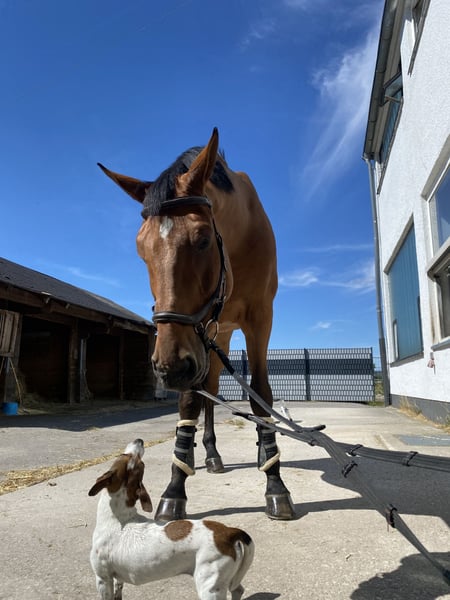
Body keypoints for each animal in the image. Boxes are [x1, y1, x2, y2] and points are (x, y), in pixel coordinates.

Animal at [98, 127, 295, 522]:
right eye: (141, 249)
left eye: (203, 239)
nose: (167, 367)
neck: (238, 240)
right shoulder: (195, 338)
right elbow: (190, 400)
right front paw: (175, 487)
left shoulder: (260, 318)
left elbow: (261, 395)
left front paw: (275, 483)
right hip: (210, 337)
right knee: (206, 391)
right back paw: (204, 454)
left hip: (221, 333)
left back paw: (255, 454)